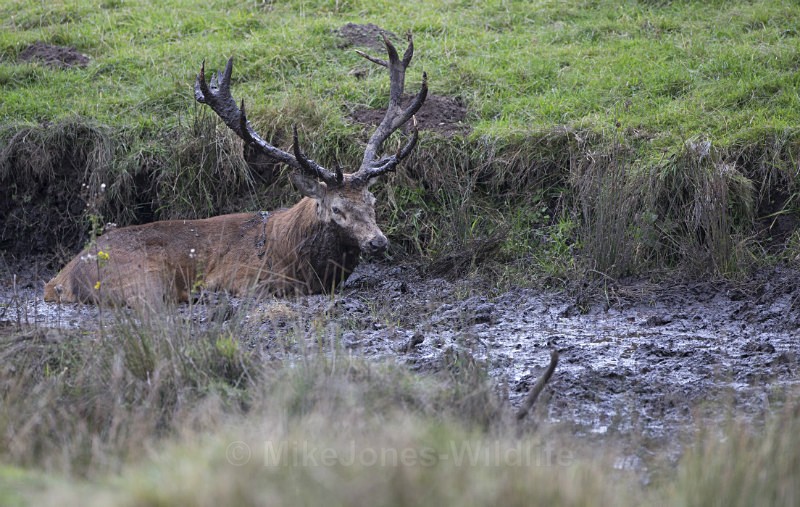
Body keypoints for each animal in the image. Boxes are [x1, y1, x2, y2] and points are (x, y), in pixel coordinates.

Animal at [44, 33, 428, 307]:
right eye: (336, 208)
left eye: (372, 202)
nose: (378, 241)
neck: (292, 257)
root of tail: (60, 280)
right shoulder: (244, 278)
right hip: (140, 278)